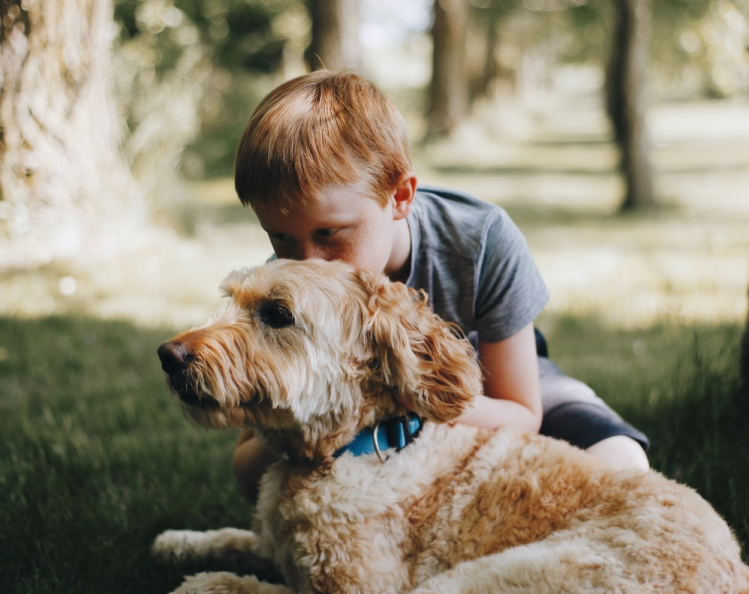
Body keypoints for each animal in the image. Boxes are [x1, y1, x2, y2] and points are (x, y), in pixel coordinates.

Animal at [153, 260, 748, 592]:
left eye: (278, 314)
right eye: (232, 299)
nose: (168, 355)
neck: (357, 446)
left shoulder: (361, 590)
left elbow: (248, 585)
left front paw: (209, 579)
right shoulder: (276, 542)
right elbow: (241, 537)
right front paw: (181, 541)